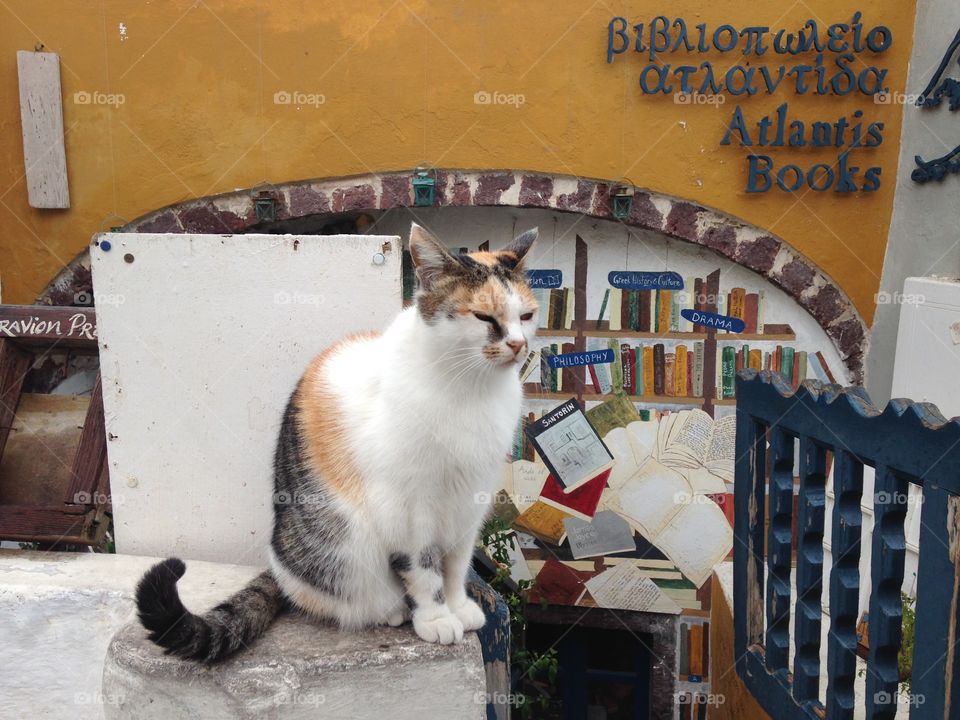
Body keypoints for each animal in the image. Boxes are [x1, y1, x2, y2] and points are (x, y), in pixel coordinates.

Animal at [135, 222, 540, 660]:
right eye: (484, 316)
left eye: (527, 316)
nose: (518, 345)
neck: (472, 390)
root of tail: (278, 566)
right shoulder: (408, 508)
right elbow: (424, 568)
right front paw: (435, 617)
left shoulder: (470, 501)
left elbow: (456, 565)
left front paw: (459, 606)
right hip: (342, 549)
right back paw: (392, 610)